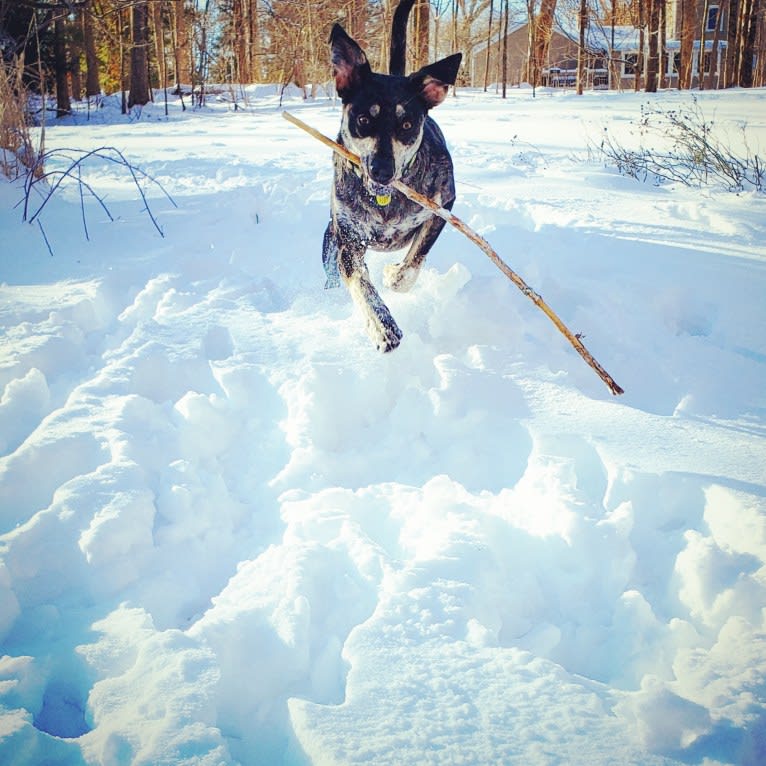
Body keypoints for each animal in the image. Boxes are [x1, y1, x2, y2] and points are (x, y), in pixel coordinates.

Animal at [322, 0, 462, 354]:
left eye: (408, 124)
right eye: (363, 119)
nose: (382, 171)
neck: (383, 199)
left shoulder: (442, 208)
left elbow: (413, 261)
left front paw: (393, 274)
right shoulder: (348, 240)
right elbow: (360, 281)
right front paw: (382, 326)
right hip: (330, 236)